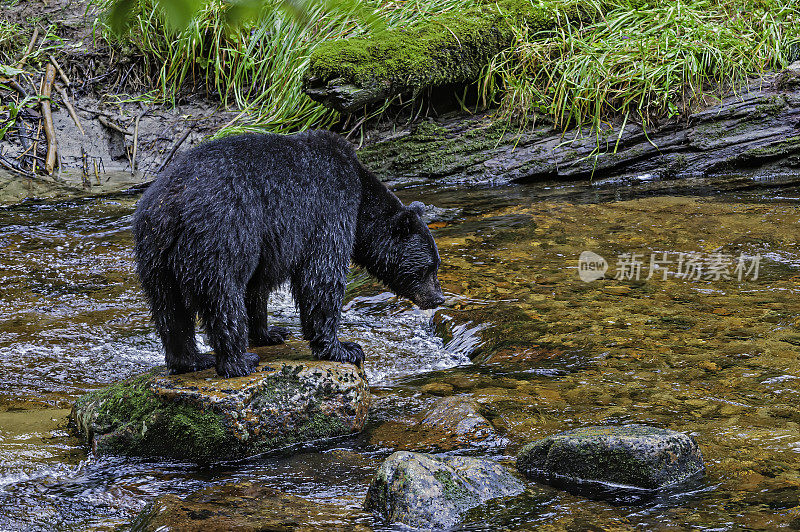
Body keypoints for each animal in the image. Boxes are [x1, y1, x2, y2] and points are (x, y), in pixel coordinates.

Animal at [131, 130, 444, 376]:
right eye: (429, 268)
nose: (439, 299)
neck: (361, 198)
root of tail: (173, 204)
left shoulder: (268, 242)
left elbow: (257, 286)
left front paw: (270, 333)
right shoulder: (328, 207)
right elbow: (321, 275)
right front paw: (344, 348)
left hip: (155, 251)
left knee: (169, 308)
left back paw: (191, 360)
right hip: (222, 233)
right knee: (223, 296)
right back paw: (239, 361)